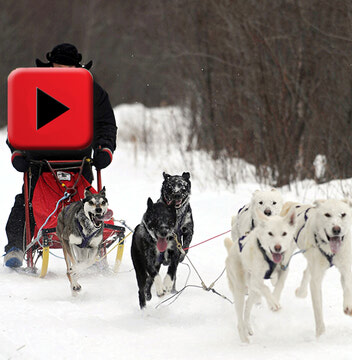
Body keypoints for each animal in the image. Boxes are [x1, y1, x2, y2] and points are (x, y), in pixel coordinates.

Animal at [224, 208, 296, 344]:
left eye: (284, 233)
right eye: (270, 233)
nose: (277, 247)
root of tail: (231, 250)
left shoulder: (284, 269)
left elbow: (279, 285)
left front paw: (275, 300)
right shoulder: (256, 280)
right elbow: (266, 288)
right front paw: (273, 303)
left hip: (252, 291)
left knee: (247, 307)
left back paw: (248, 327)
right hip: (240, 289)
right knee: (239, 319)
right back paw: (244, 340)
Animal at [294, 200, 352, 338]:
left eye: (343, 214)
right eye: (327, 214)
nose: (336, 229)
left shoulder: (346, 268)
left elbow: (347, 285)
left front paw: (348, 305)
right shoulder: (316, 280)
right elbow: (318, 310)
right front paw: (321, 335)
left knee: (306, 271)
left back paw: (301, 292)